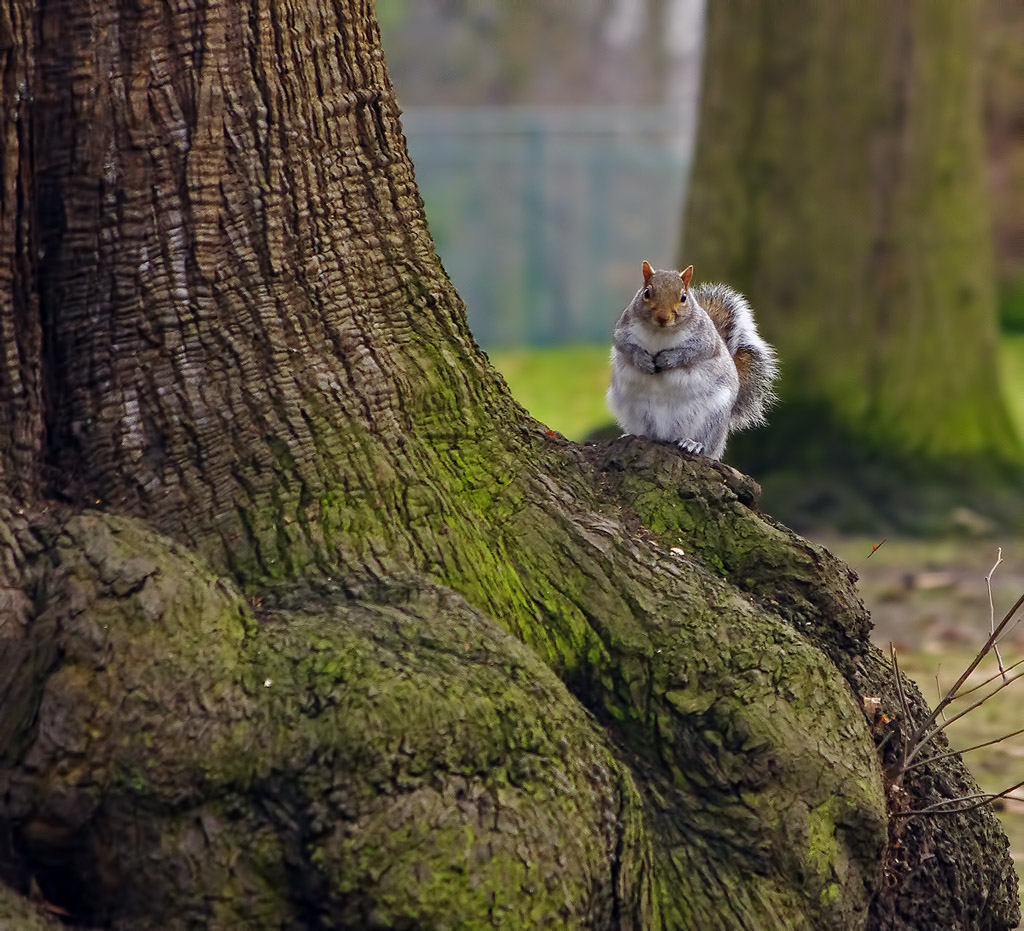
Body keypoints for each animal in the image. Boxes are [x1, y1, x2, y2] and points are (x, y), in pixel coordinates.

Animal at [606, 261, 778, 460]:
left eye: (683, 297)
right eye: (646, 293)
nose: (663, 317)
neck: (660, 332)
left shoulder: (705, 340)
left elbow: (691, 353)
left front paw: (667, 359)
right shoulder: (623, 331)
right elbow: (626, 347)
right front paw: (643, 360)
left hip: (712, 418)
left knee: (705, 442)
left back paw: (693, 444)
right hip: (633, 411)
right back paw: (633, 434)